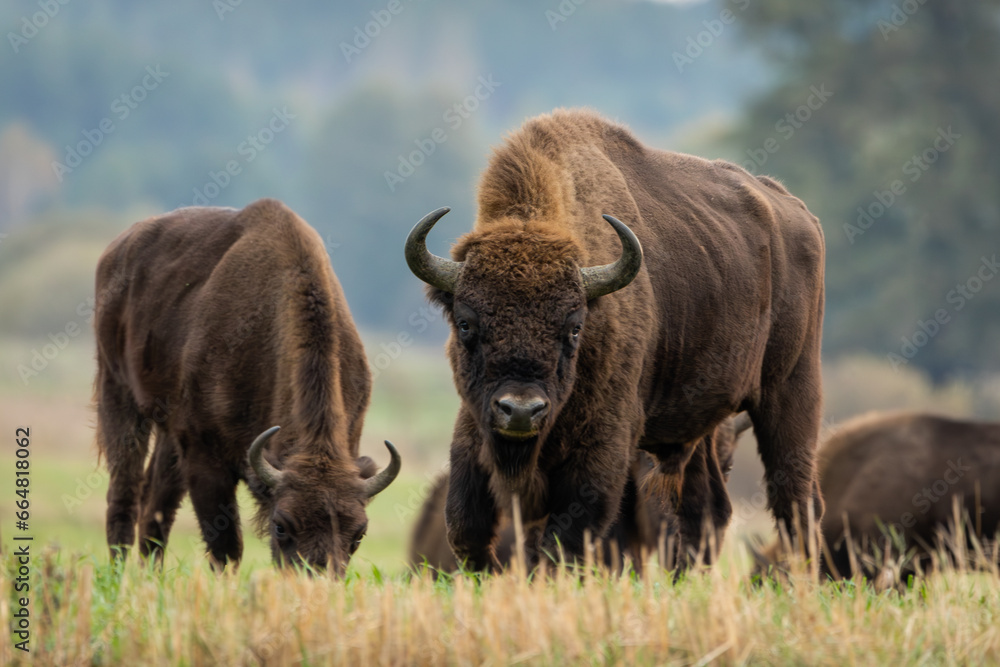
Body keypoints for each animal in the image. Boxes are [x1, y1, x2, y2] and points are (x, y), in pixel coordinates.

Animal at [95, 198, 400, 576]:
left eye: (358, 533)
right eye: (281, 525)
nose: (316, 577)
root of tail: (116, 250)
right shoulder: (206, 459)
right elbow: (226, 547)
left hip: (169, 430)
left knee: (157, 497)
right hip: (117, 389)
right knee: (125, 486)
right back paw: (119, 571)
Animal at [402, 108, 824, 568]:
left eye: (573, 326)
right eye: (465, 324)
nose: (520, 411)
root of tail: (800, 215)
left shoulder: (602, 448)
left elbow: (565, 542)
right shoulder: (473, 430)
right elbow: (467, 527)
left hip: (790, 391)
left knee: (796, 499)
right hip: (702, 423)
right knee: (707, 508)